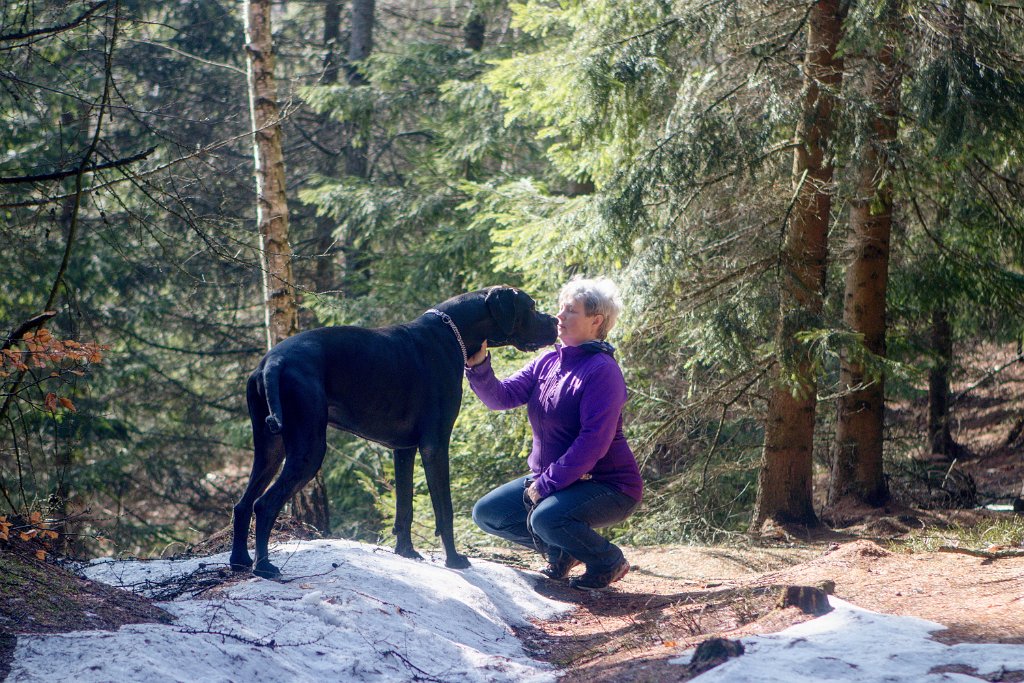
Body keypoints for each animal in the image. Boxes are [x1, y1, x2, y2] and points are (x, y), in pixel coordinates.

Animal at [231, 286, 557, 581]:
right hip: (308, 450)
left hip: (270, 449)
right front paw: (453, 560)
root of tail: (272, 362)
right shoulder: (435, 445)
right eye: (530, 306)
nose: (554, 320)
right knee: (264, 504)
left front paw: (406, 552)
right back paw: (264, 566)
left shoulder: (404, 450)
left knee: (243, 504)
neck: (450, 332)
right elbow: (444, 510)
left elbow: (404, 508)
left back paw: (240, 560)